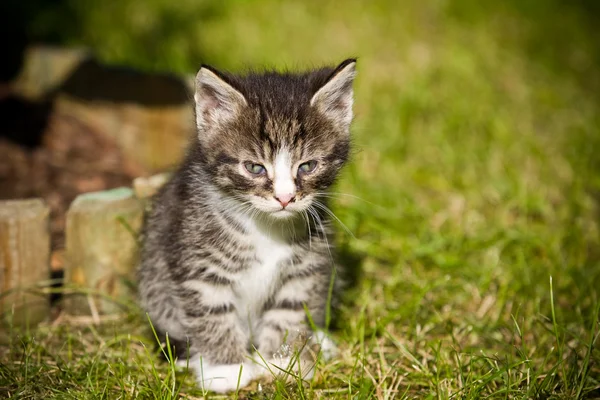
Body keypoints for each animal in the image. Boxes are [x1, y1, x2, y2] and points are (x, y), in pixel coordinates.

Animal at [138, 59, 356, 394]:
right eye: (254, 167)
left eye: (307, 166)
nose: (285, 198)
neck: (264, 227)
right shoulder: (197, 265)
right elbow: (212, 314)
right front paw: (226, 369)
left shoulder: (306, 265)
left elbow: (290, 308)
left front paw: (283, 360)